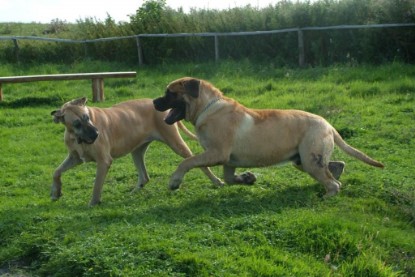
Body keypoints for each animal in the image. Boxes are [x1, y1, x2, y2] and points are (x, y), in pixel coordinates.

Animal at [51, 97, 224, 205]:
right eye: (77, 123)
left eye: (87, 117)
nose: (96, 134)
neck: (76, 137)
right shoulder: (74, 158)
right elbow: (56, 171)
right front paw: (55, 192)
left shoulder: (103, 161)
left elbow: (96, 185)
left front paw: (93, 203)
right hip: (136, 151)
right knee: (145, 176)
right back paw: (134, 191)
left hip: (176, 144)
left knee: (199, 163)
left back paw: (217, 181)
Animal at [154, 75, 386, 196]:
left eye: (170, 93)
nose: (154, 102)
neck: (207, 107)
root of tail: (328, 124)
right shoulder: (228, 160)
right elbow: (229, 179)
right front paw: (247, 178)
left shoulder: (216, 153)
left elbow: (187, 162)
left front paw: (174, 182)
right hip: (304, 160)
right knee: (335, 166)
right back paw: (333, 178)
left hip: (310, 159)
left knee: (333, 182)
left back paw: (327, 194)